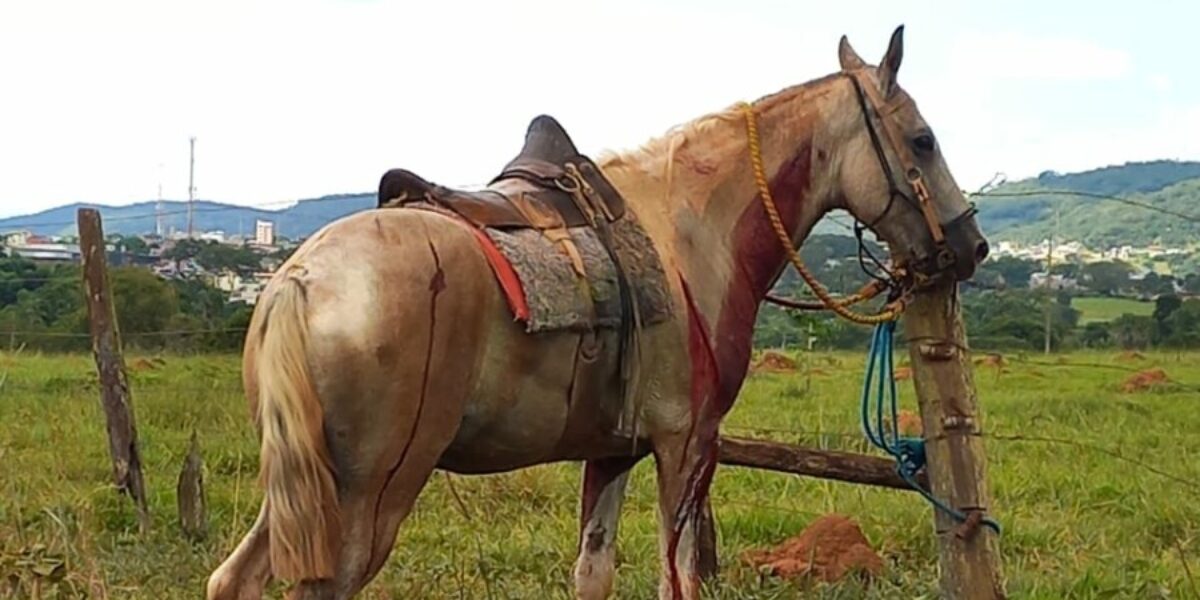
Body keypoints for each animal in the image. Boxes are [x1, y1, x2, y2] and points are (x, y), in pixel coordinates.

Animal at [207, 25, 989, 600]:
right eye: (922, 140)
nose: (971, 246)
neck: (687, 235)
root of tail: (300, 279)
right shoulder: (688, 446)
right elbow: (678, 582)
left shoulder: (612, 450)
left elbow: (593, 573)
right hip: (372, 490)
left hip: (303, 487)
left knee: (232, 580)